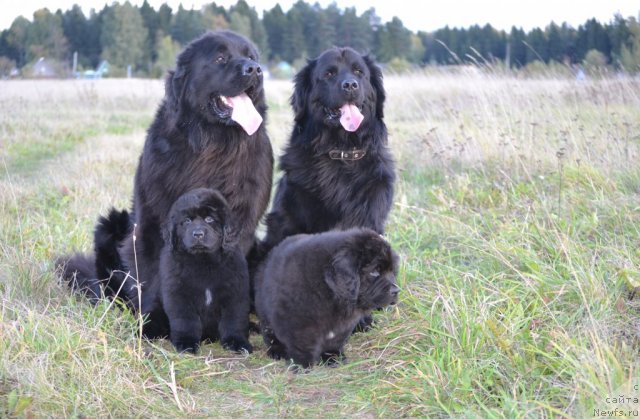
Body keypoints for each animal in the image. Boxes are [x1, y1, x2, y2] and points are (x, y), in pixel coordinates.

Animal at [160, 189, 252, 356]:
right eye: (187, 221)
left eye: (209, 219)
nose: (198, 234)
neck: (203, 262)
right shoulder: (179, 295)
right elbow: (186, 321)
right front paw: (186, 343)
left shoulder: (236, 293)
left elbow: (234, 320)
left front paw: (237, 342)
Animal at [256, 228, 400, 370]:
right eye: (374, 271)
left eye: (392, 271)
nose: (396, 291)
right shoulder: (296, 322)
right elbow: (301, 345)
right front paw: (302, 365)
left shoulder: (342, 327)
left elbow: (334, 341)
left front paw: (333, 357)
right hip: (265, 312)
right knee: (269, 334)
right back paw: (277, 351)